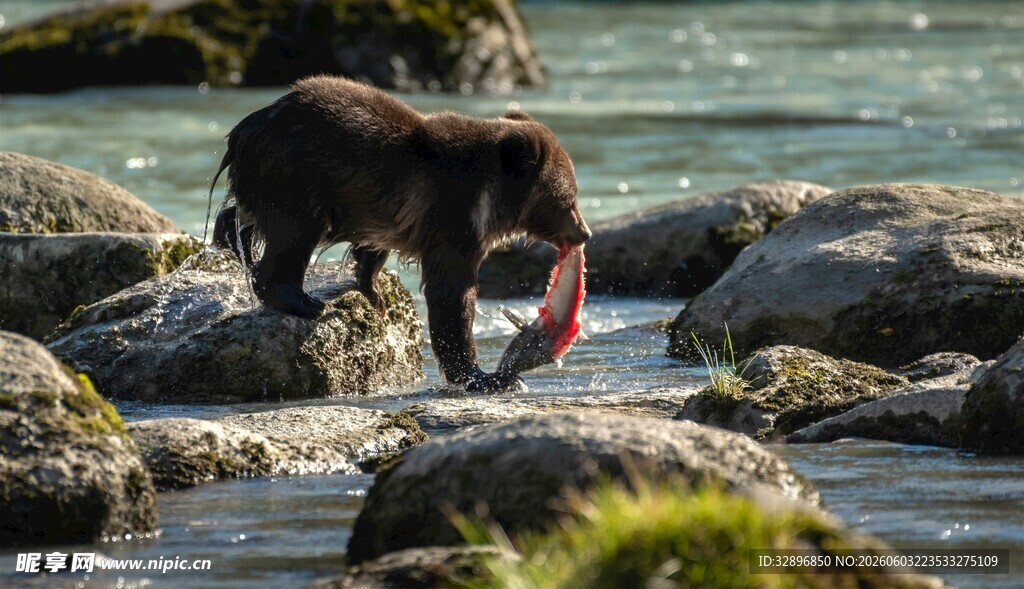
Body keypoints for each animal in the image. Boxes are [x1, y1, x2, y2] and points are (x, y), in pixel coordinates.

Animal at [208, 75, 590, 392]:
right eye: (568, 198)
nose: (584, 233)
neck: (488, 197)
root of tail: (245, 129)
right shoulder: (453, 220)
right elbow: (452, 293)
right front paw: (483, 376)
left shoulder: (389, 213)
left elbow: (373, 250)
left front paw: (373, 292)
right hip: (295, 170)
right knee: (294, 233)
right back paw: (303, 301)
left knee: (245, 216)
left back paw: (232, 240)